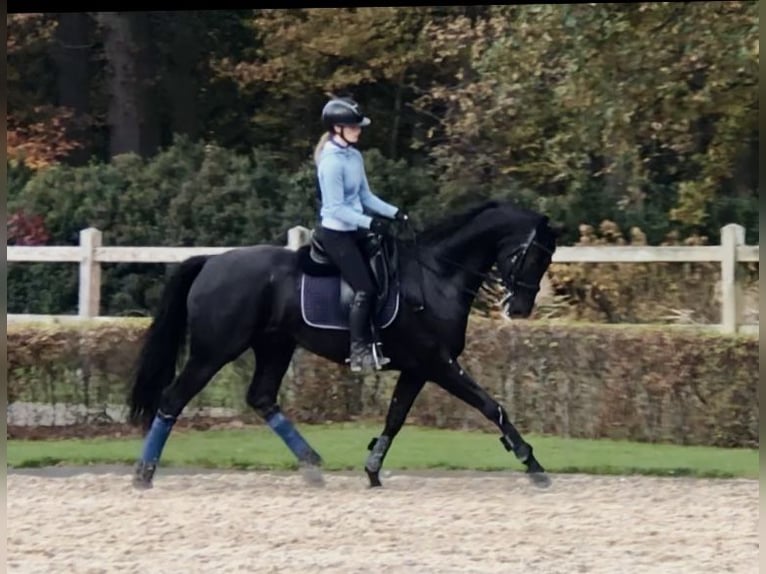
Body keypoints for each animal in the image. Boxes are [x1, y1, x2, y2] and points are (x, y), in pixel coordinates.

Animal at [127, 199, 559, 489]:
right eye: (533, 256)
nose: (520, 307)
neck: (437, 276)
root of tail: (211, 262)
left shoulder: (418, 369)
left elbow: (395, 418)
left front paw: (372, 470)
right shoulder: (438, 363)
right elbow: (491, 406)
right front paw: (532, 463)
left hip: (275, 346)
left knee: (262, 397)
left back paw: (312, 464)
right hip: (213, 352)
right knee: (173, 398)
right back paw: (144, 473)